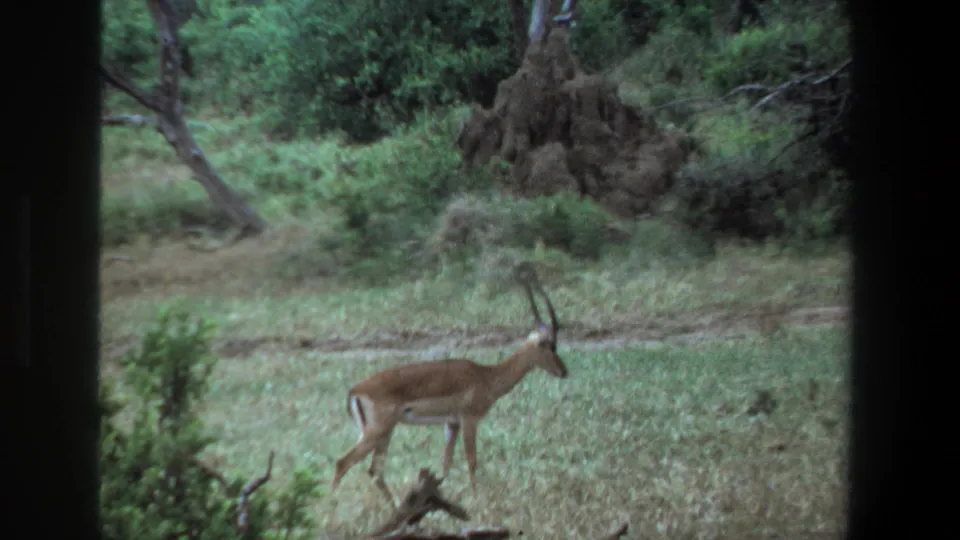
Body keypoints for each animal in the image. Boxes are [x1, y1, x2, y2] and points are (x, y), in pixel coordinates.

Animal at [330, 280, 569, 506]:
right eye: (550, 345)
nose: (564, 371)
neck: (486, 376)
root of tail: (355, 390)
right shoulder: (469, 419)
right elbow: (472, 461)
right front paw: (476, 499)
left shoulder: (451, 423)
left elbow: (446, 462)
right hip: (377, 432)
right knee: (343, 462)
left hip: (383, 433)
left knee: (375, 471)